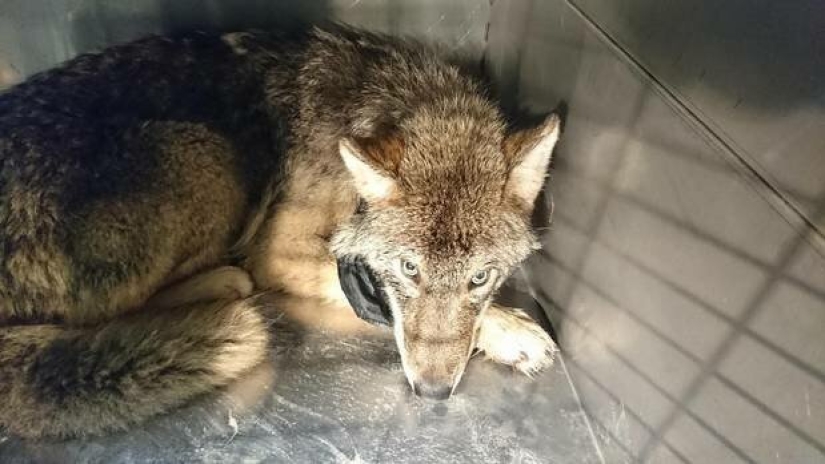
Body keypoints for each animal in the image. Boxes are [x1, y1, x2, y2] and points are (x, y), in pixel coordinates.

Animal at [0, 25, 561, 439]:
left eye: (481, 277)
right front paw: (511, 330)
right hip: (206, 152)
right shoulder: (279, 253)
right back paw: (225, 283)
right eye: (408, 269)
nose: (432, 392)